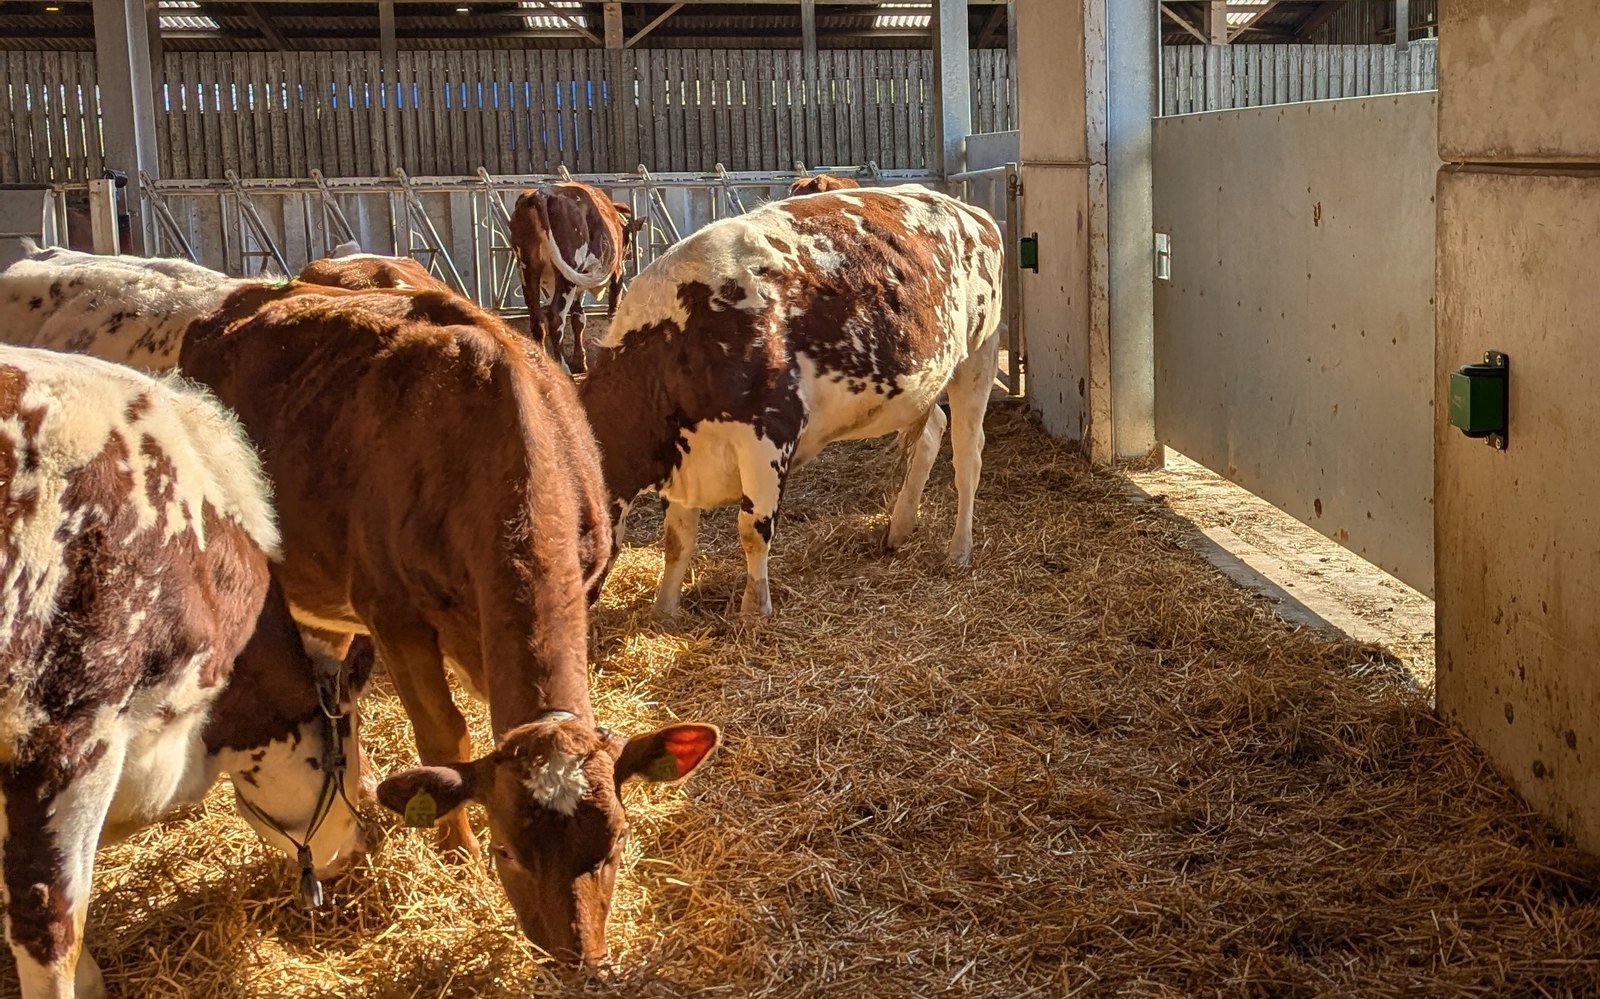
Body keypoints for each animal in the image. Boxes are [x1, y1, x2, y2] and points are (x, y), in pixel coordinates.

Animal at [174, 282, 720, 964]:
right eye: (506, 850)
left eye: (617, 843)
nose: (577, 954)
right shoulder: (393, 615)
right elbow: (444, 736)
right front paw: (455, 851)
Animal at [509, 182, 644, 374]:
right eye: (628, 238)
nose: (635, 253)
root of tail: (540, 194)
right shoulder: (617, 274)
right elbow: (612, 313)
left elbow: (578, 318)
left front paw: (580, 361)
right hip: (566, 272)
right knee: (555, 317)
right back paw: (563, 368)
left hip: (528, 270)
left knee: (537, 320)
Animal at [579, 185, 1004, 618]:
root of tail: (968, 210)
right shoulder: (683, 459)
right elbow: (678, 540)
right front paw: (664, 611)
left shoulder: (769, 433)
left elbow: (753, 530)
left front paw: (754, 611)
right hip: (921, 383)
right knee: (931, 432)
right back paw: (899, 528)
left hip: (977, 357)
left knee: (968, 456)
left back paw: (959, 550)